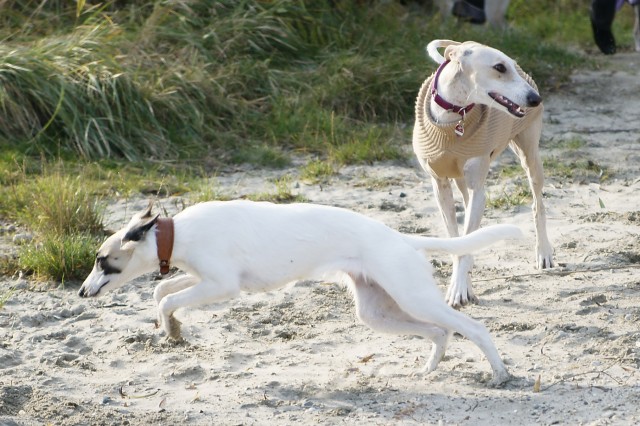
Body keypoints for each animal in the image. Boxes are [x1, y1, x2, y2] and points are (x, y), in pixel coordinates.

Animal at [79, 200, 523, 386]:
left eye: (102, 260)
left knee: (473, 328)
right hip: (377, 312)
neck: (178, 232)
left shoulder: (222, 285)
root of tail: (402, 239)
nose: (81, 292)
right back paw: (429, 370)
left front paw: (172, 329)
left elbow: (167, 298)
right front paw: (172, 329)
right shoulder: (203, 279)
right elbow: (163, 292)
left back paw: (501, 375)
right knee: (439, 332)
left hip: (413, 297)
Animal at [412, 40, 554, 308]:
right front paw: (462, 284)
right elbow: (457, 240)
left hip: (530, 156)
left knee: (537, 204)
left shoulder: (478, 189)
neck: (453, 119)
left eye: (510, 65)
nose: (536, 99)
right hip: (461, 180)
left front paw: (459, 289)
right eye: (499, 67)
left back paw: (544, 253)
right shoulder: (440, 184)